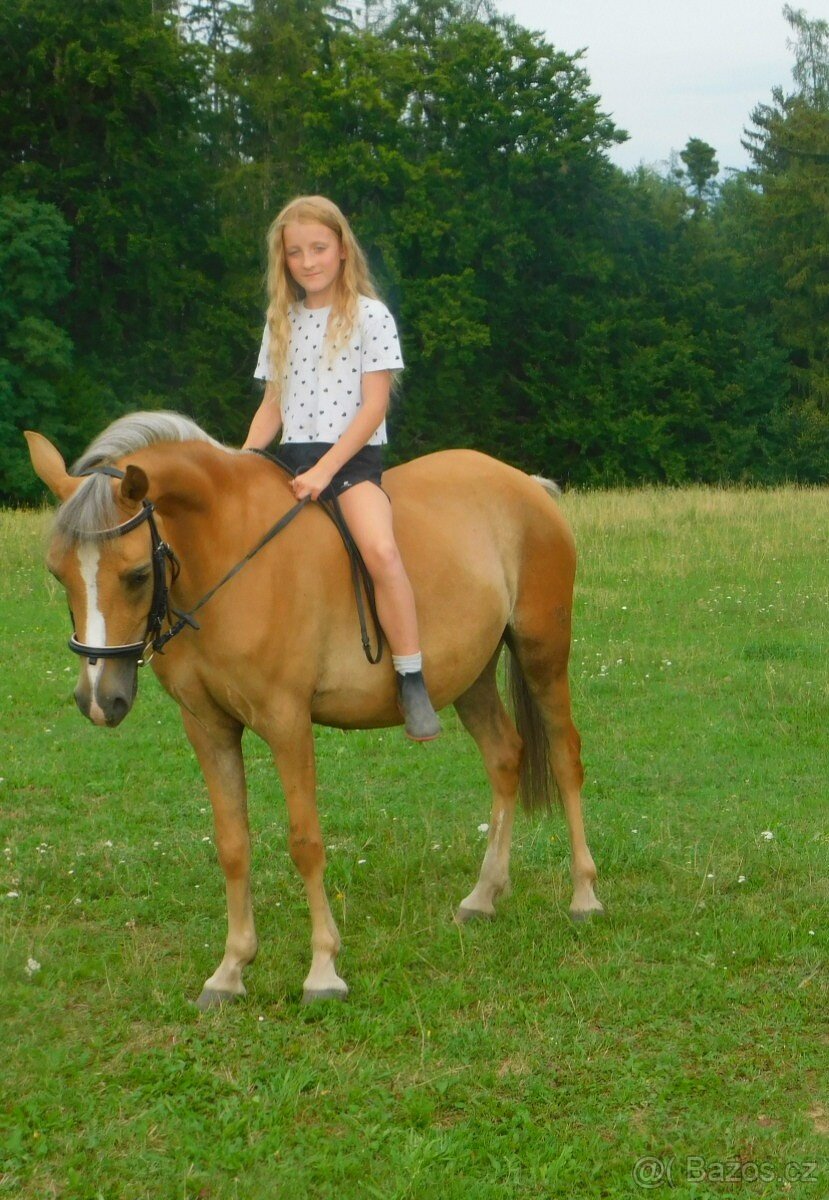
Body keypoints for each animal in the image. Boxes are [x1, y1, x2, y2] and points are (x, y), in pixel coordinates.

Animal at [26, 412, 603, 1007]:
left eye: (138, 574)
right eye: (57, 572)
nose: (100, 699)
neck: (229, 556)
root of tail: (526, 486)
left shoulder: (287, 723)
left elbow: (305, 842)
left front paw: (323, 970)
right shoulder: (208, 727)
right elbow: (232, 844)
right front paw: (229, 971)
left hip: (542, 653)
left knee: (565, 757)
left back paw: (584, 894)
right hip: (472, 676)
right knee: (505, 758)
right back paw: (483, 895)